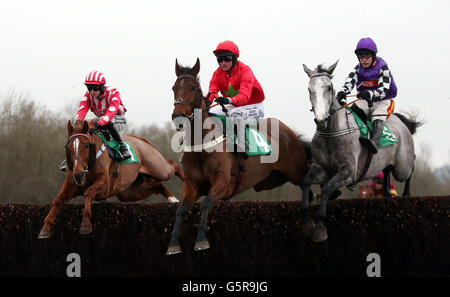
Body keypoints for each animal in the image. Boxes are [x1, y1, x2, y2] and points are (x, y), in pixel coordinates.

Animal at [37, 119, 184, 237]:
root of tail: (140, 140)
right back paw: (173, 200)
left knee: (173, 166)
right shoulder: (71, 184)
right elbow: (58, 199)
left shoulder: (104, 185)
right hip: (128, 193)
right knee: (158, 185)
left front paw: (85, 225)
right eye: (69, 147)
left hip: (158, 168)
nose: (78, 174)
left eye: (86, 145)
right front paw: (45, 228)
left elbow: (88, 192)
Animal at [167, 58, 312, 254]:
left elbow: (206, 202)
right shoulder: (192, 183)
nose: (178, 117)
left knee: (307, 187)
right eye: (174, 88)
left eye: (193, 87)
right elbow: (181, 209)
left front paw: (201, 240)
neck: (202, 144)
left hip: (296, 170)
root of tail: (289, 132)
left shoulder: (223, 182)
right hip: (271, 180)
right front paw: (173, 243)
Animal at [300, 61, 420, 242]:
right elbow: (306, 182)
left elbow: (327, 188)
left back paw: (406, 194)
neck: (332, 134)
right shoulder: (320, 168)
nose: (321, 120)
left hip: (402, 166)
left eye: (329, 87)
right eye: (309, 89)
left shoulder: (349, 172)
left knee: (410, 168)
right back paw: (387, 194)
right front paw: (307, 222)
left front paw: (320, 227)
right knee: (387, 171)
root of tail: (401, 121)